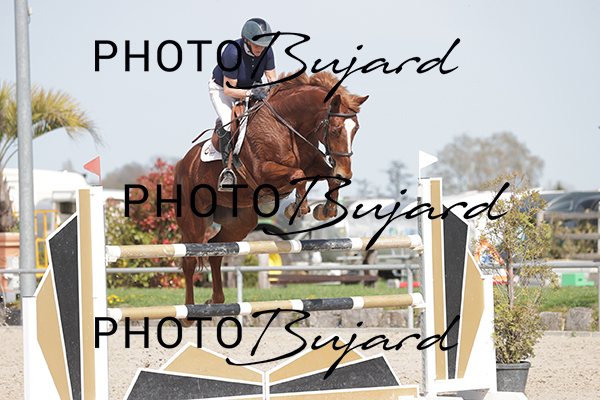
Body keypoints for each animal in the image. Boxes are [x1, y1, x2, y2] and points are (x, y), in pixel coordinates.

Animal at [173, 71, 368, 310]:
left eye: (356, 129)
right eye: (335, 130)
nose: (346, 173)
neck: (288, 125)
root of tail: (182, 164)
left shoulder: (314, 164)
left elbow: (328, 178)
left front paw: (325, 210)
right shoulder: (263, 172)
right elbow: (297, 174)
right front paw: (298, 207)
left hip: (240, 222)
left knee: (215, 250)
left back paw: (216, 300)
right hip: (194, 222)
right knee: (190, 259)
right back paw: (189, 310)